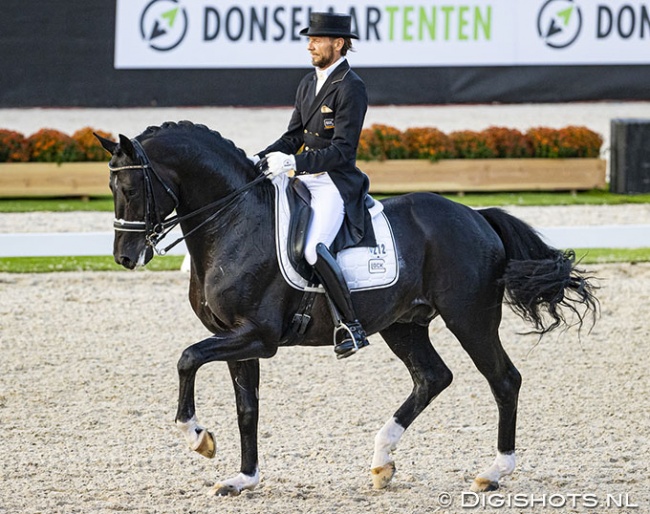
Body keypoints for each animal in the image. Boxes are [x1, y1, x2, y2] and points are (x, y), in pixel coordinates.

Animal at [93, 122, 596, 494]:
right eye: (111, 185)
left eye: (132, 188)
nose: (126, 257)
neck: (234, 222)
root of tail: (476, 216)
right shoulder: (237, 337)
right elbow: (247, 408)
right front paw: (242, 479)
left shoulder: (257, 336)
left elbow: (187, 358)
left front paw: (197, 437)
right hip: (403, 324)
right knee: (432, 378)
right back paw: (382, 462)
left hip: (469, 320)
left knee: (503, 380)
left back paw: (494, 472)